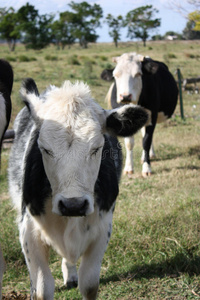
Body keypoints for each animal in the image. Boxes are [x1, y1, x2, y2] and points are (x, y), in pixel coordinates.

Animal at [8, 78, 148, 298]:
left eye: (97, 148)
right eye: (45, 149)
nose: (73, 205)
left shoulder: (102, 229)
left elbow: (89, 284)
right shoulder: (29, 232)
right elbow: (42, 288)